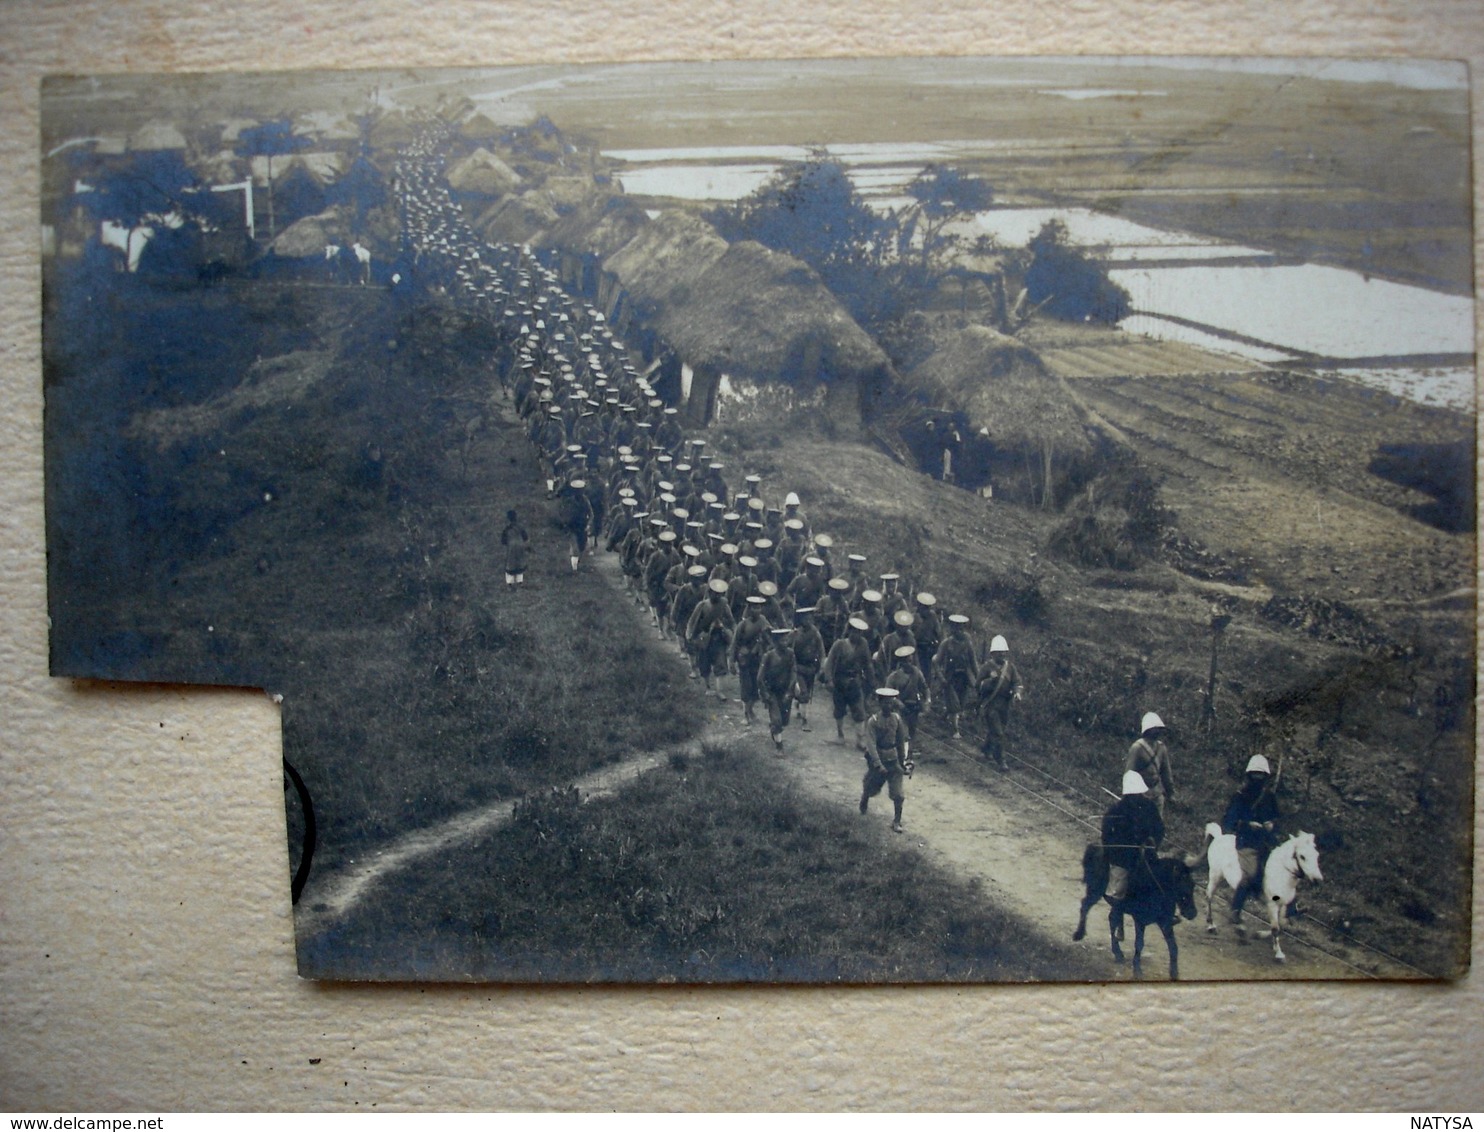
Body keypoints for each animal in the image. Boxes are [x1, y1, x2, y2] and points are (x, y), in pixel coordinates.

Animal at [1074, 848, 1199, 979]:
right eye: (1182, 887)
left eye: (1193, 885)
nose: (1192, 913)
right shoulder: (1139, 920)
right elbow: (1139, 944)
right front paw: (1137, 970)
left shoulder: (1165, 922)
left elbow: (1173, 946)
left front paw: (1174, 972)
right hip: (1095, 891)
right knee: (1085, 906)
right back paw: (1079, 934)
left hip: (1116, 904)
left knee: (1112, 919)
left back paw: (1118, 952)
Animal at [1199, 830, 1329, 961]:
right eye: (1302, 856)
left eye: (1316, 855)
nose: (1318, 880)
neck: (1282, 874)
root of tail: (1219, 837)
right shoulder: (1272, 905)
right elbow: (1276, 928)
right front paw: (1279, 953)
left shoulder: (1284, 905)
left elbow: (1281, 924)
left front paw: (1261, 935)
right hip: (1215, 876)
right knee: (1209, 896)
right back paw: (1212, 925)